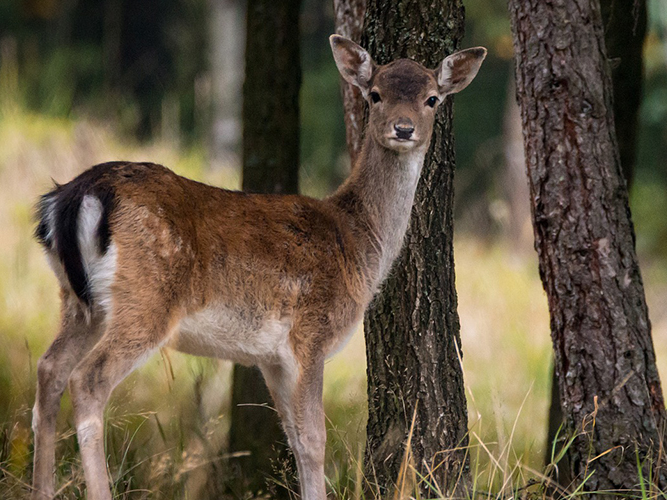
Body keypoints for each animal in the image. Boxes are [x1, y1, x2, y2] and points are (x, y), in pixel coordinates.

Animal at [31, 36, 486, 500]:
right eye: (375, 94)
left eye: (431, 98)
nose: (404, 128)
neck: (359, 245)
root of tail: (74, 196)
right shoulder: (310, 335)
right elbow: (314, 438)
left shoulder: (270, 357)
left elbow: (293, 437)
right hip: (146, 301)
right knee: (88, 380)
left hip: (80, 303)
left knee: (50, 370)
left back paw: (41, 489)